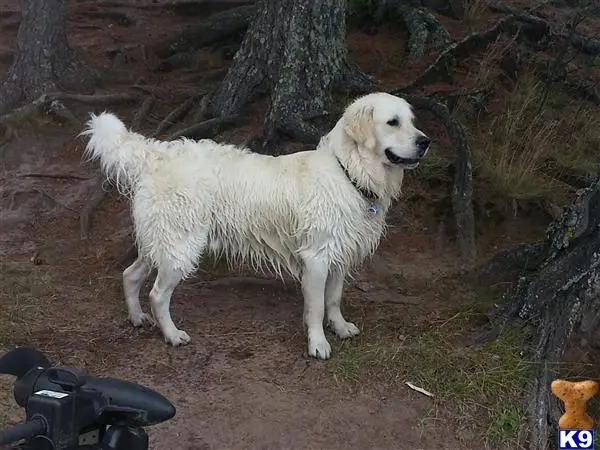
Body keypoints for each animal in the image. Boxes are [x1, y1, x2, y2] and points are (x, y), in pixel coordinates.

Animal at [83, 91, 432, 358]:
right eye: (393, 122)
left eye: (412, 121)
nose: (426, 141)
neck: (349, 171)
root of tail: (156, 154)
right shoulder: (316, 258)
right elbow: (317, 307)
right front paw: (318, 344)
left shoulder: (340, 253)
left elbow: (333, 299)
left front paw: (341, 327)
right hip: (181, 246)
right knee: (157, 294)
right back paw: (171, 334)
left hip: (161, 241)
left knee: (130, 275)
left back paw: (137, 317)